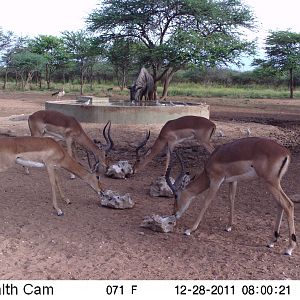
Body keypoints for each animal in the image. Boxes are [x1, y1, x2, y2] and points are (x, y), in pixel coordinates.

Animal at [168, 137, 296, 255]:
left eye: (176, 195)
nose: (174, 214)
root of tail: (286, 153)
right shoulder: (232, 181)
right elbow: (231, 199)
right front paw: (229, 226)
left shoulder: (216, 180)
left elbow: (206, 202)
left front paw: (190, 230)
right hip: (275, 183)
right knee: (280, 204)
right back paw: (271, 241)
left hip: (270, 182)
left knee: (288, 204)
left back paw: (289, 248)